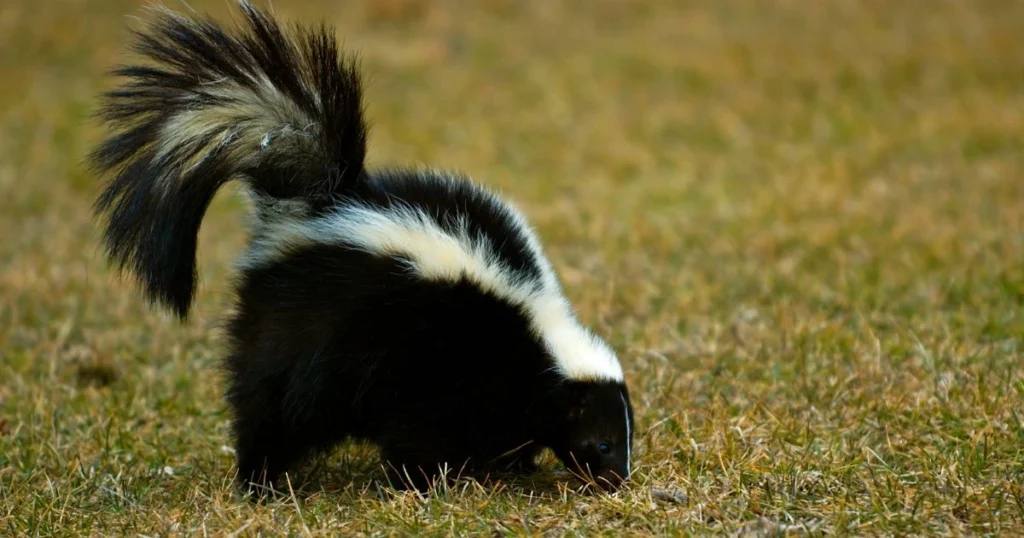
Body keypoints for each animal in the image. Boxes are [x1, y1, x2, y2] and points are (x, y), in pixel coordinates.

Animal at [90, 1, 630, 495]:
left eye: (624, 438)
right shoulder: (443, 369)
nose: (618, 479)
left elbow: (509, 428)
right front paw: (424, 482)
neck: (535, 333)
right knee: (268, 405)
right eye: (602, 442)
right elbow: (420, 432)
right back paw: (258, 481)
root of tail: (315, 204)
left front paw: (514, 464)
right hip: (301, 332)